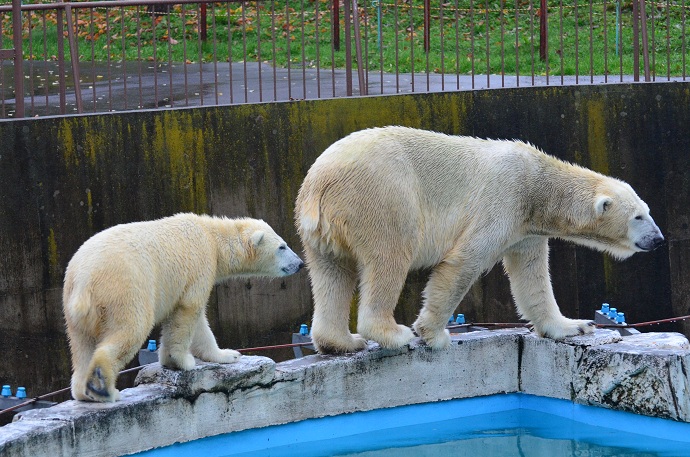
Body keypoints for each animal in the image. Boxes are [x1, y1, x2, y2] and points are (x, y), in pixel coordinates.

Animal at [63, 212, 300, 400]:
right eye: (282, 246)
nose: (299, 263)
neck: (212, 237)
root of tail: (84, 279)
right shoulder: (199, 265)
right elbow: (188, 311)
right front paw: (182, 361)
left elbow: (199, 323)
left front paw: (226, 355)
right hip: (124, 290)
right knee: (130, 329)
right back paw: (104, 388)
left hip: (73, 306)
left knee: (82, 345)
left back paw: (83, 391)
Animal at [294, 126, 660, 354]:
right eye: (638, 217)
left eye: (647, 211)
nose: (658, 239)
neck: (537, 183)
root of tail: (319, 184)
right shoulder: (503, 197)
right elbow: (464, 261)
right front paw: (433, 335)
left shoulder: (526, 229)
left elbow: (532, 277)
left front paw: (573, 326)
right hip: (381, 199)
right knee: (389, 257)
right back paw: (394, 335)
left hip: (318, 232)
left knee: (331, 273)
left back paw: (340, 342)